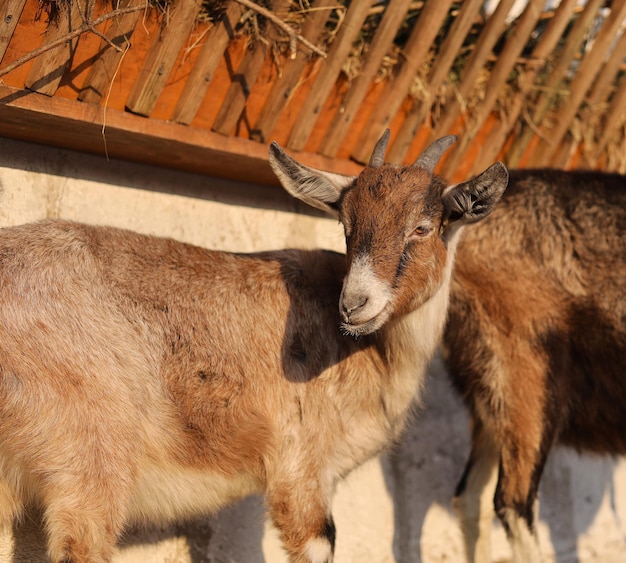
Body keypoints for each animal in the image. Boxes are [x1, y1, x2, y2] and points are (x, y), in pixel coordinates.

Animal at [1, 133, 508, 563]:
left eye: (423, 227)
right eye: (346, 225)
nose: (354, 304)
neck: (376, 352)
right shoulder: (299, 467)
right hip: (91, 455)